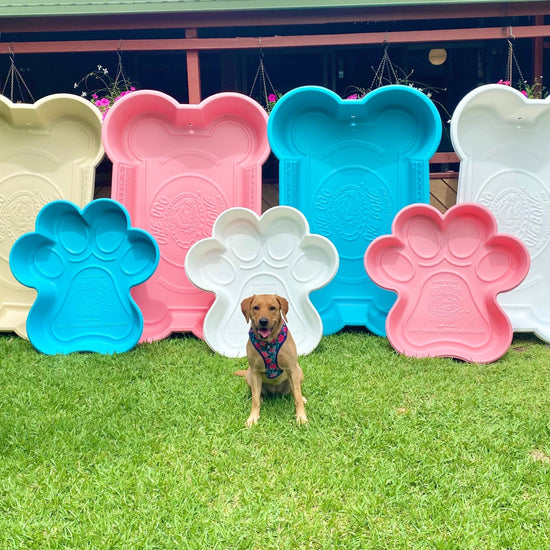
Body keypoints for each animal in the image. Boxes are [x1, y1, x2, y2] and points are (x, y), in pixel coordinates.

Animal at [235, 296, 308, 430]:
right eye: (256, 307)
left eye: (272, 308)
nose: (263, 321)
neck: (268, 343)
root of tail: (275, 391)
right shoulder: (255, 372)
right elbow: (255, 401)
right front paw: (253, 418)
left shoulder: (292, 368)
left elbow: (297, 397)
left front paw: (301, 417)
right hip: (248, 375)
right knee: (256, 394)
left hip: (299, 372)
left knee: (294, 392)